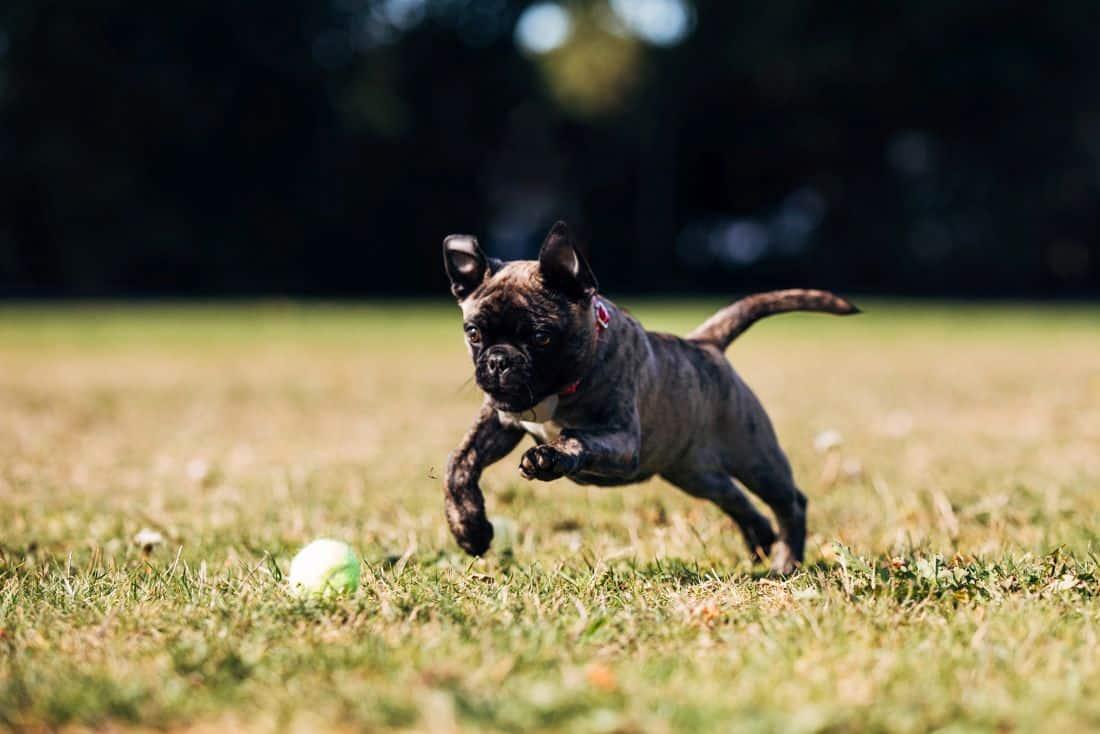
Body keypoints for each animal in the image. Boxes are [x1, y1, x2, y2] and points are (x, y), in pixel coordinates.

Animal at [442, 220, 853, 572]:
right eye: (474, 333)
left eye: (541, 338)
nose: (498, 361)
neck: (562, 388)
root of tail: (706, 344)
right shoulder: (500, 421)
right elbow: (458, 465)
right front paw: (470, 530)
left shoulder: (622, 441)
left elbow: (577, 437)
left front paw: (550, 457)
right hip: (697, 474)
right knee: (736, 499)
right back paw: (761, 538)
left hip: (756, 458)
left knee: (790, 503)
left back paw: (786, 562)